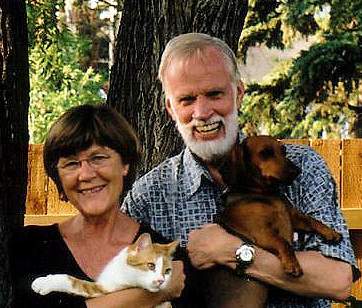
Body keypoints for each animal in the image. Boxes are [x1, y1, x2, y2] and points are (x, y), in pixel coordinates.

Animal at [31, 232, 179, 306]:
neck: (124, 271)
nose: (161, 281)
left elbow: (73, 282)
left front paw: (45, 283)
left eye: (167, 271)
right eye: (151, 265)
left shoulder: (106, 290)